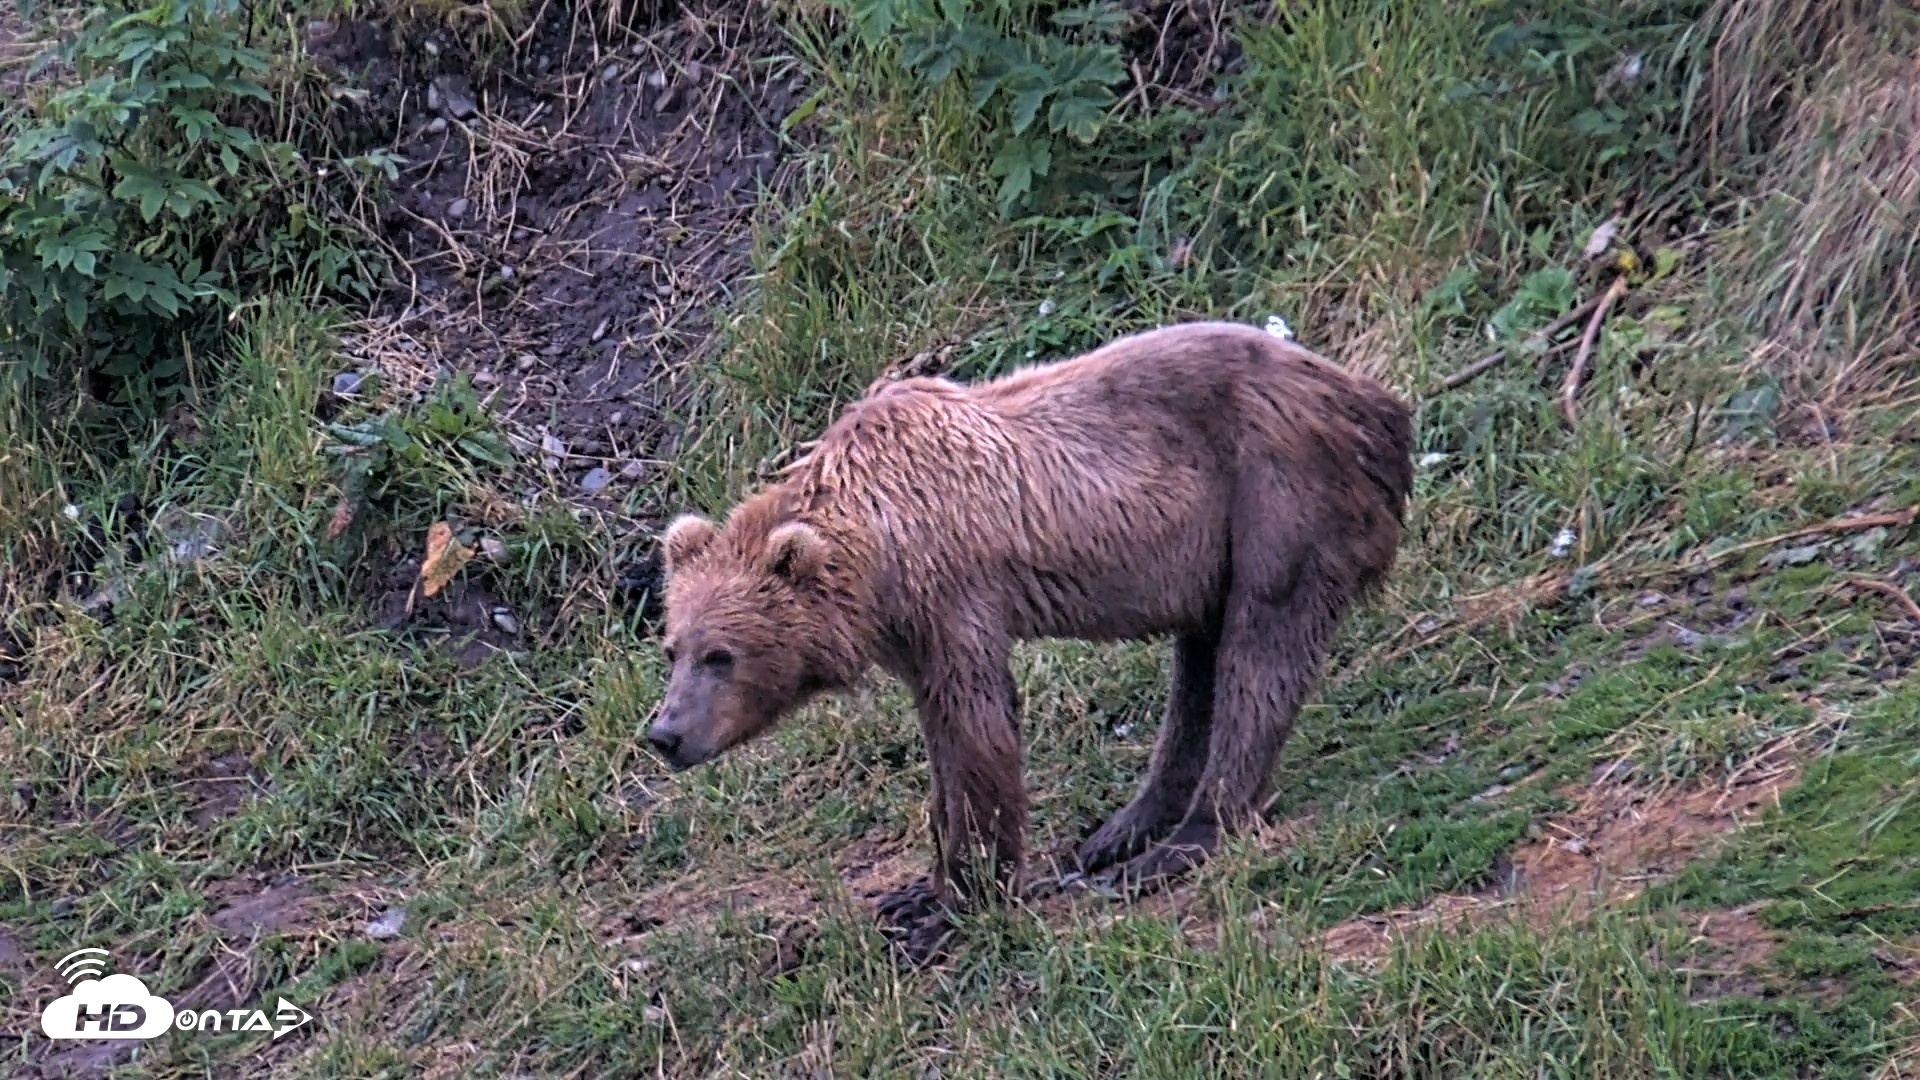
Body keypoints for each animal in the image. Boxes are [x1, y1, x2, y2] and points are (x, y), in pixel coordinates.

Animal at [648, 320, 1415, 959]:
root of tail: (1374, 398)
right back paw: (1121, 831)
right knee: (1199, 662)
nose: (664, 734)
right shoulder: (911, 628)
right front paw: (920, 890)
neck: (877, 548)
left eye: (721, 655)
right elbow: (943, 743)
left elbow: (976, 727)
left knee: (1261, 647)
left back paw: (1184, 838)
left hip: (1276, 488)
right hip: (1211, 546)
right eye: (673, 649)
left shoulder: (953, 592)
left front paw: (958, 902)